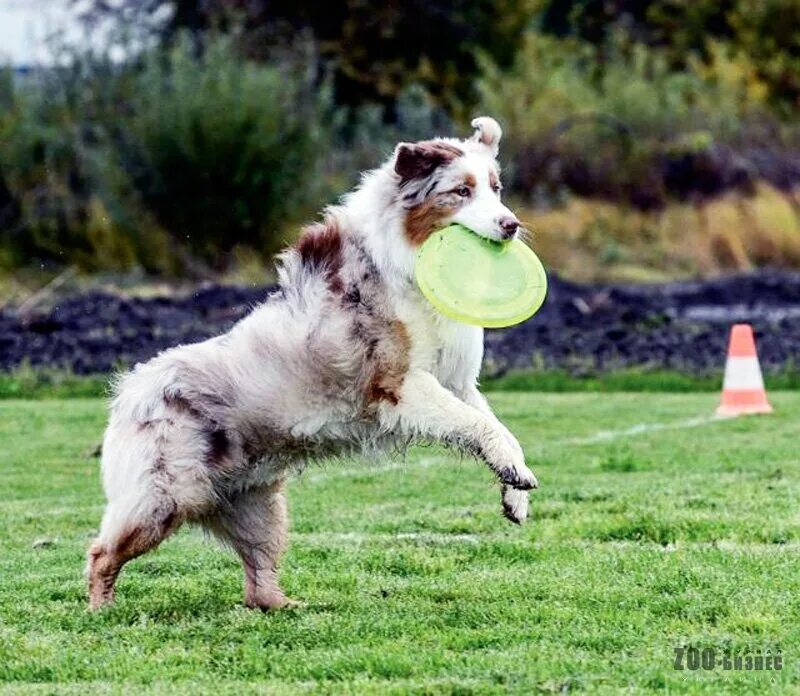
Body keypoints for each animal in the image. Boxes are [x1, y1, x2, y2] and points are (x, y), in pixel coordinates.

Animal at [86, 115, 536, 608]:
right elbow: (481, 426)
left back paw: (288, 606)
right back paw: (102, 611)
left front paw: (516, 492)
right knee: (101, 553)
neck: (404, 261)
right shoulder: (400, 384)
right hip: (165, 497)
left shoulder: (455, 383)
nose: (511, 225)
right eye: (461, 191)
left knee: (258, 579)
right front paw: (517, 476)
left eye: (496, 188)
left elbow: (495, 426)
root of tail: (128, 392)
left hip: (259, 506)